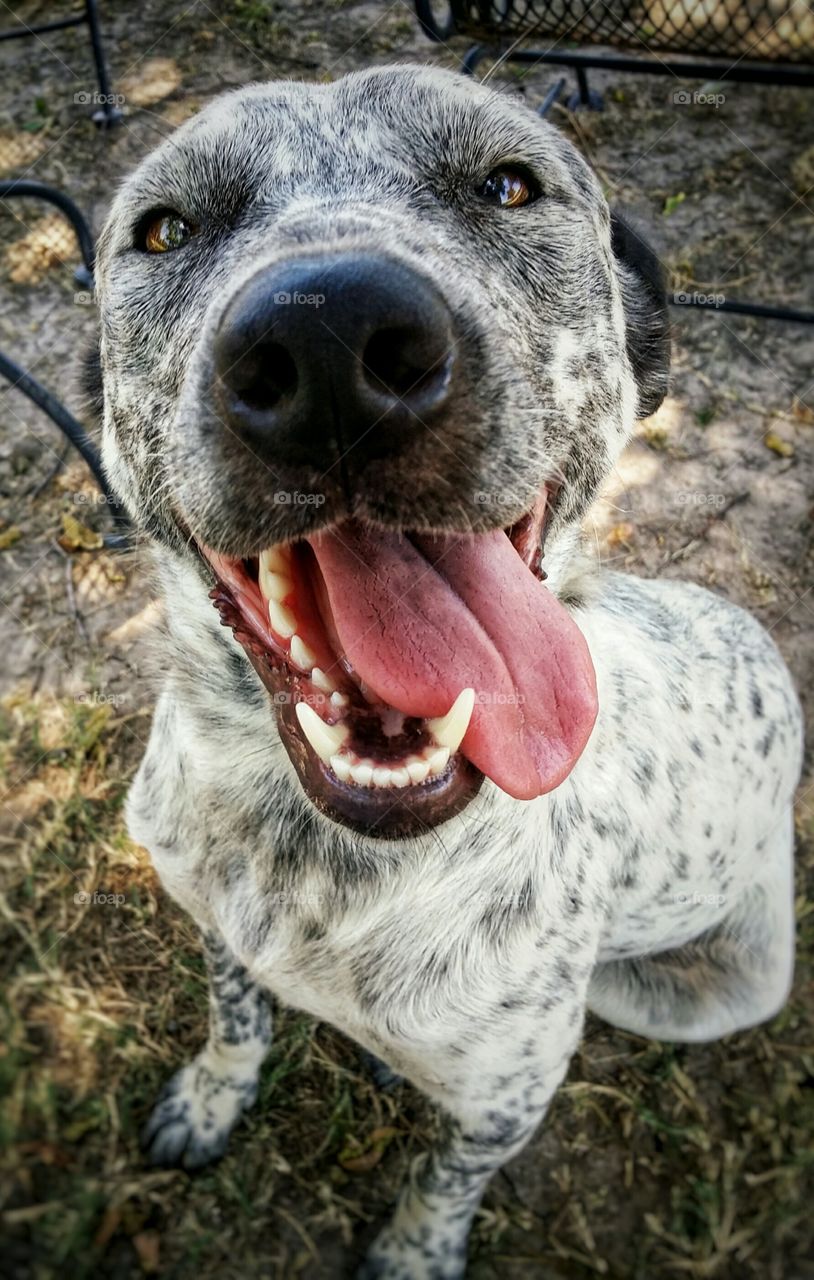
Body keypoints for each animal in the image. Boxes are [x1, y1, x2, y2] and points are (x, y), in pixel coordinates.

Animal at [87, 64, 803, 1274]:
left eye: (508, 185)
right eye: (166, 228)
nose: (328, 342)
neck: (315, 861)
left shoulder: (503, 1098)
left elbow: (442, 1179)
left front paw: (416, 1250)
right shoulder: (217, 927)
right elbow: (235, 1016)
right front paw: (213, 1093)